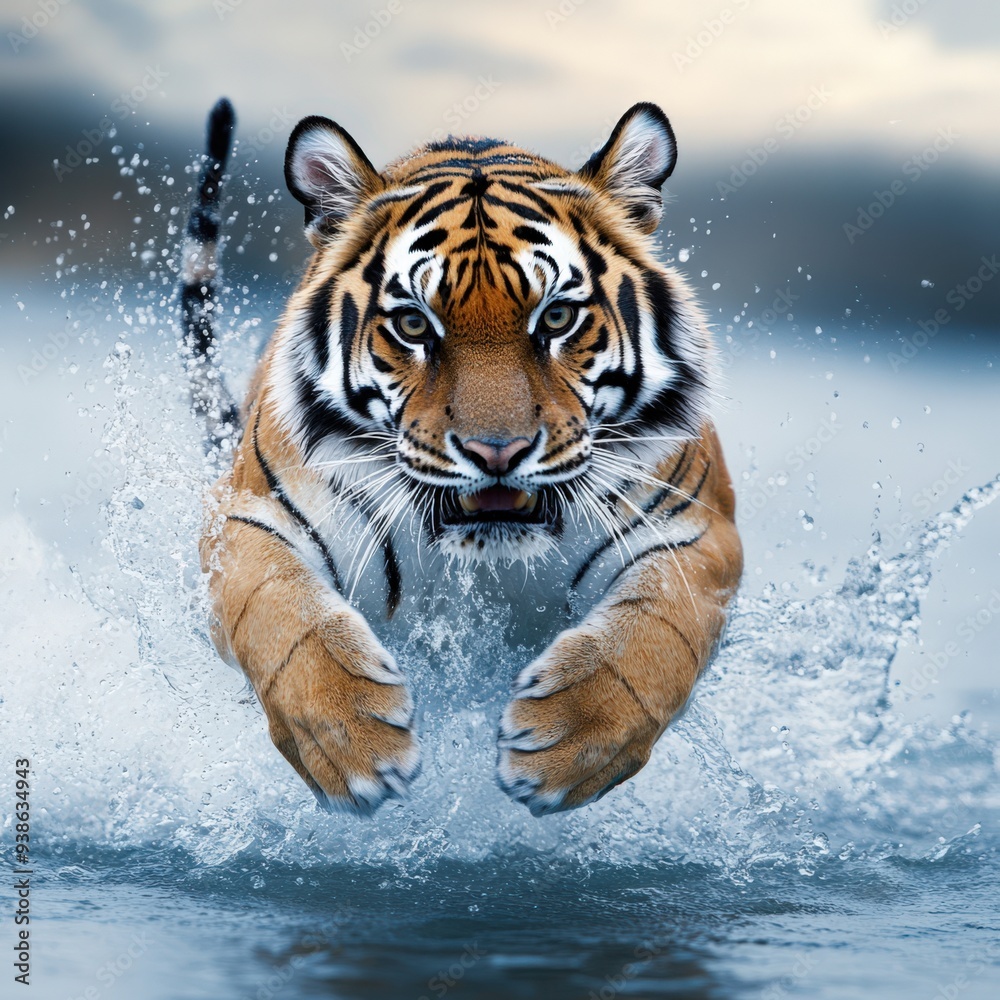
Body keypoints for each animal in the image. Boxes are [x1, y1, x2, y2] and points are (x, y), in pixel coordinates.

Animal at [184, 97, 743, 817]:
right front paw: (351, 740)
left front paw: (566, 744)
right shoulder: (250, 517)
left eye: (556, 317)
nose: (495, 452)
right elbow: (283, 614)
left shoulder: (696, 531)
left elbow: (653, 635)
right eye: (413, 324)